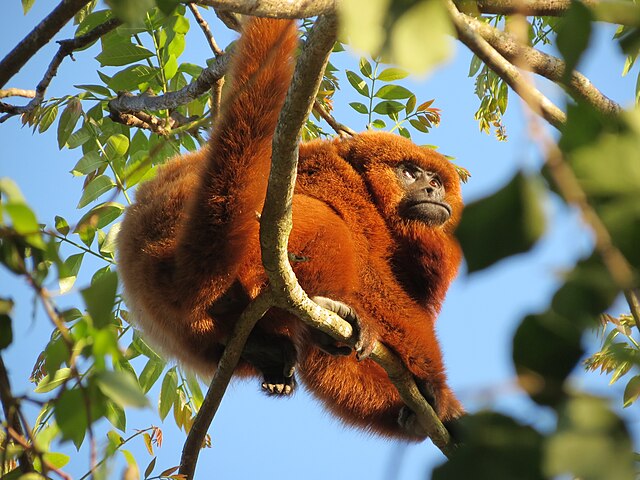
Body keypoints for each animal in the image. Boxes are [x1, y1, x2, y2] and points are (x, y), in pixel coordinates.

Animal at [117, 16, 464, 440]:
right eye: (410, 172)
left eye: (438, 181)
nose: (431, 189)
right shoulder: (346, 184)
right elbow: (373, 280)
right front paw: (435, 389)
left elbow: (328, 366)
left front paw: (419, 409)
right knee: (324, 223)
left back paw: (267, 351)